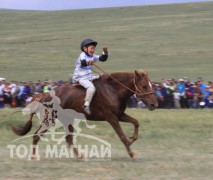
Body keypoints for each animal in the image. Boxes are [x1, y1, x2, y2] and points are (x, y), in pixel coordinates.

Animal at [12, 68, 158, 159]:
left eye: (151, 85)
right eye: (144, 86)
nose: (154, 104)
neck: (113, 90)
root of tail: (44, 94)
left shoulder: (120, 115)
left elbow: (136, 123)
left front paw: (132, 138)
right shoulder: (111, 117)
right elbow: (122, 136)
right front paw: (132, 153)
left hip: (67, 120)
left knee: (68, 139)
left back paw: (80, 156)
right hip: (50, 120)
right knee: (37, 135)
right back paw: (33, 156)